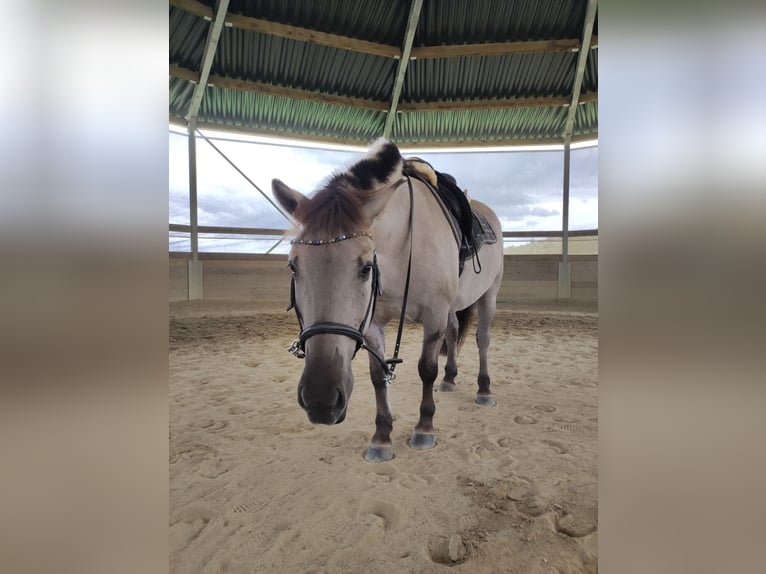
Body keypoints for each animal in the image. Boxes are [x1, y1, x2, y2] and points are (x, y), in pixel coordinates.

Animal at [272, 138, 504, 462]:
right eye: (293, 266)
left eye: (366, 267)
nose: (321, 400)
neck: (403, 249)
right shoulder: (373, 324)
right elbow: (377, 375)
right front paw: (381, 437)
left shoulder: (433, 315)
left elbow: (426, 369)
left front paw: (424, 428)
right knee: (454, 331)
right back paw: (449, 380)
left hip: (488, 294)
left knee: (482, 339)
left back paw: (484, 390)